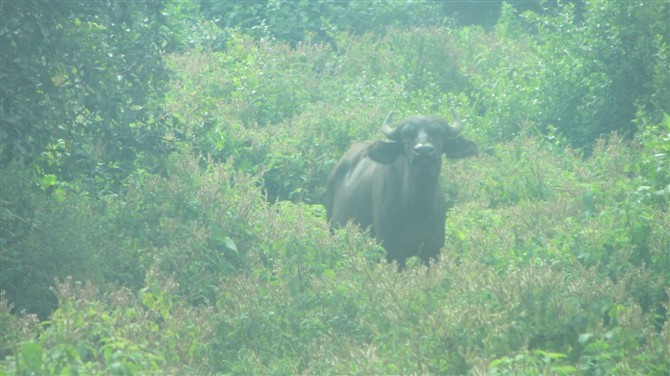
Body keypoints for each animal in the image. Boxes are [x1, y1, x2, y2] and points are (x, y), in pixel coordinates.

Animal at [328, 111, 480, 268]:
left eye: (439, 135)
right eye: (406, 136)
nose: (423, 150)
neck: (417, 208)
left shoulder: (433, 250)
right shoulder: (392, 251)